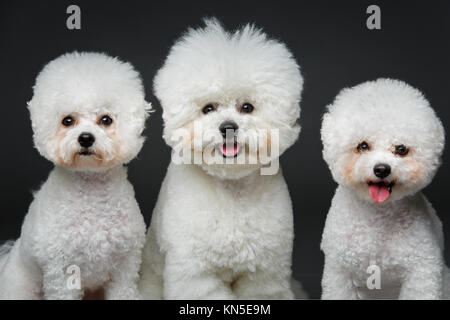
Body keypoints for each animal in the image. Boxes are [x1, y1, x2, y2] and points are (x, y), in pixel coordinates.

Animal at [0, 52, 151, 300]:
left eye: (106, 120)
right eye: (67, 121)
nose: (86, 138)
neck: (91, 191)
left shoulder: (125, 265)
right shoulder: (62, 271)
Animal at [320, 78, 450, 300]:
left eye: (401, 149)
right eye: (362, 146)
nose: (381, 169)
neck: (377, 218)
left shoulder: (422, 272)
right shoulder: (340, 272)